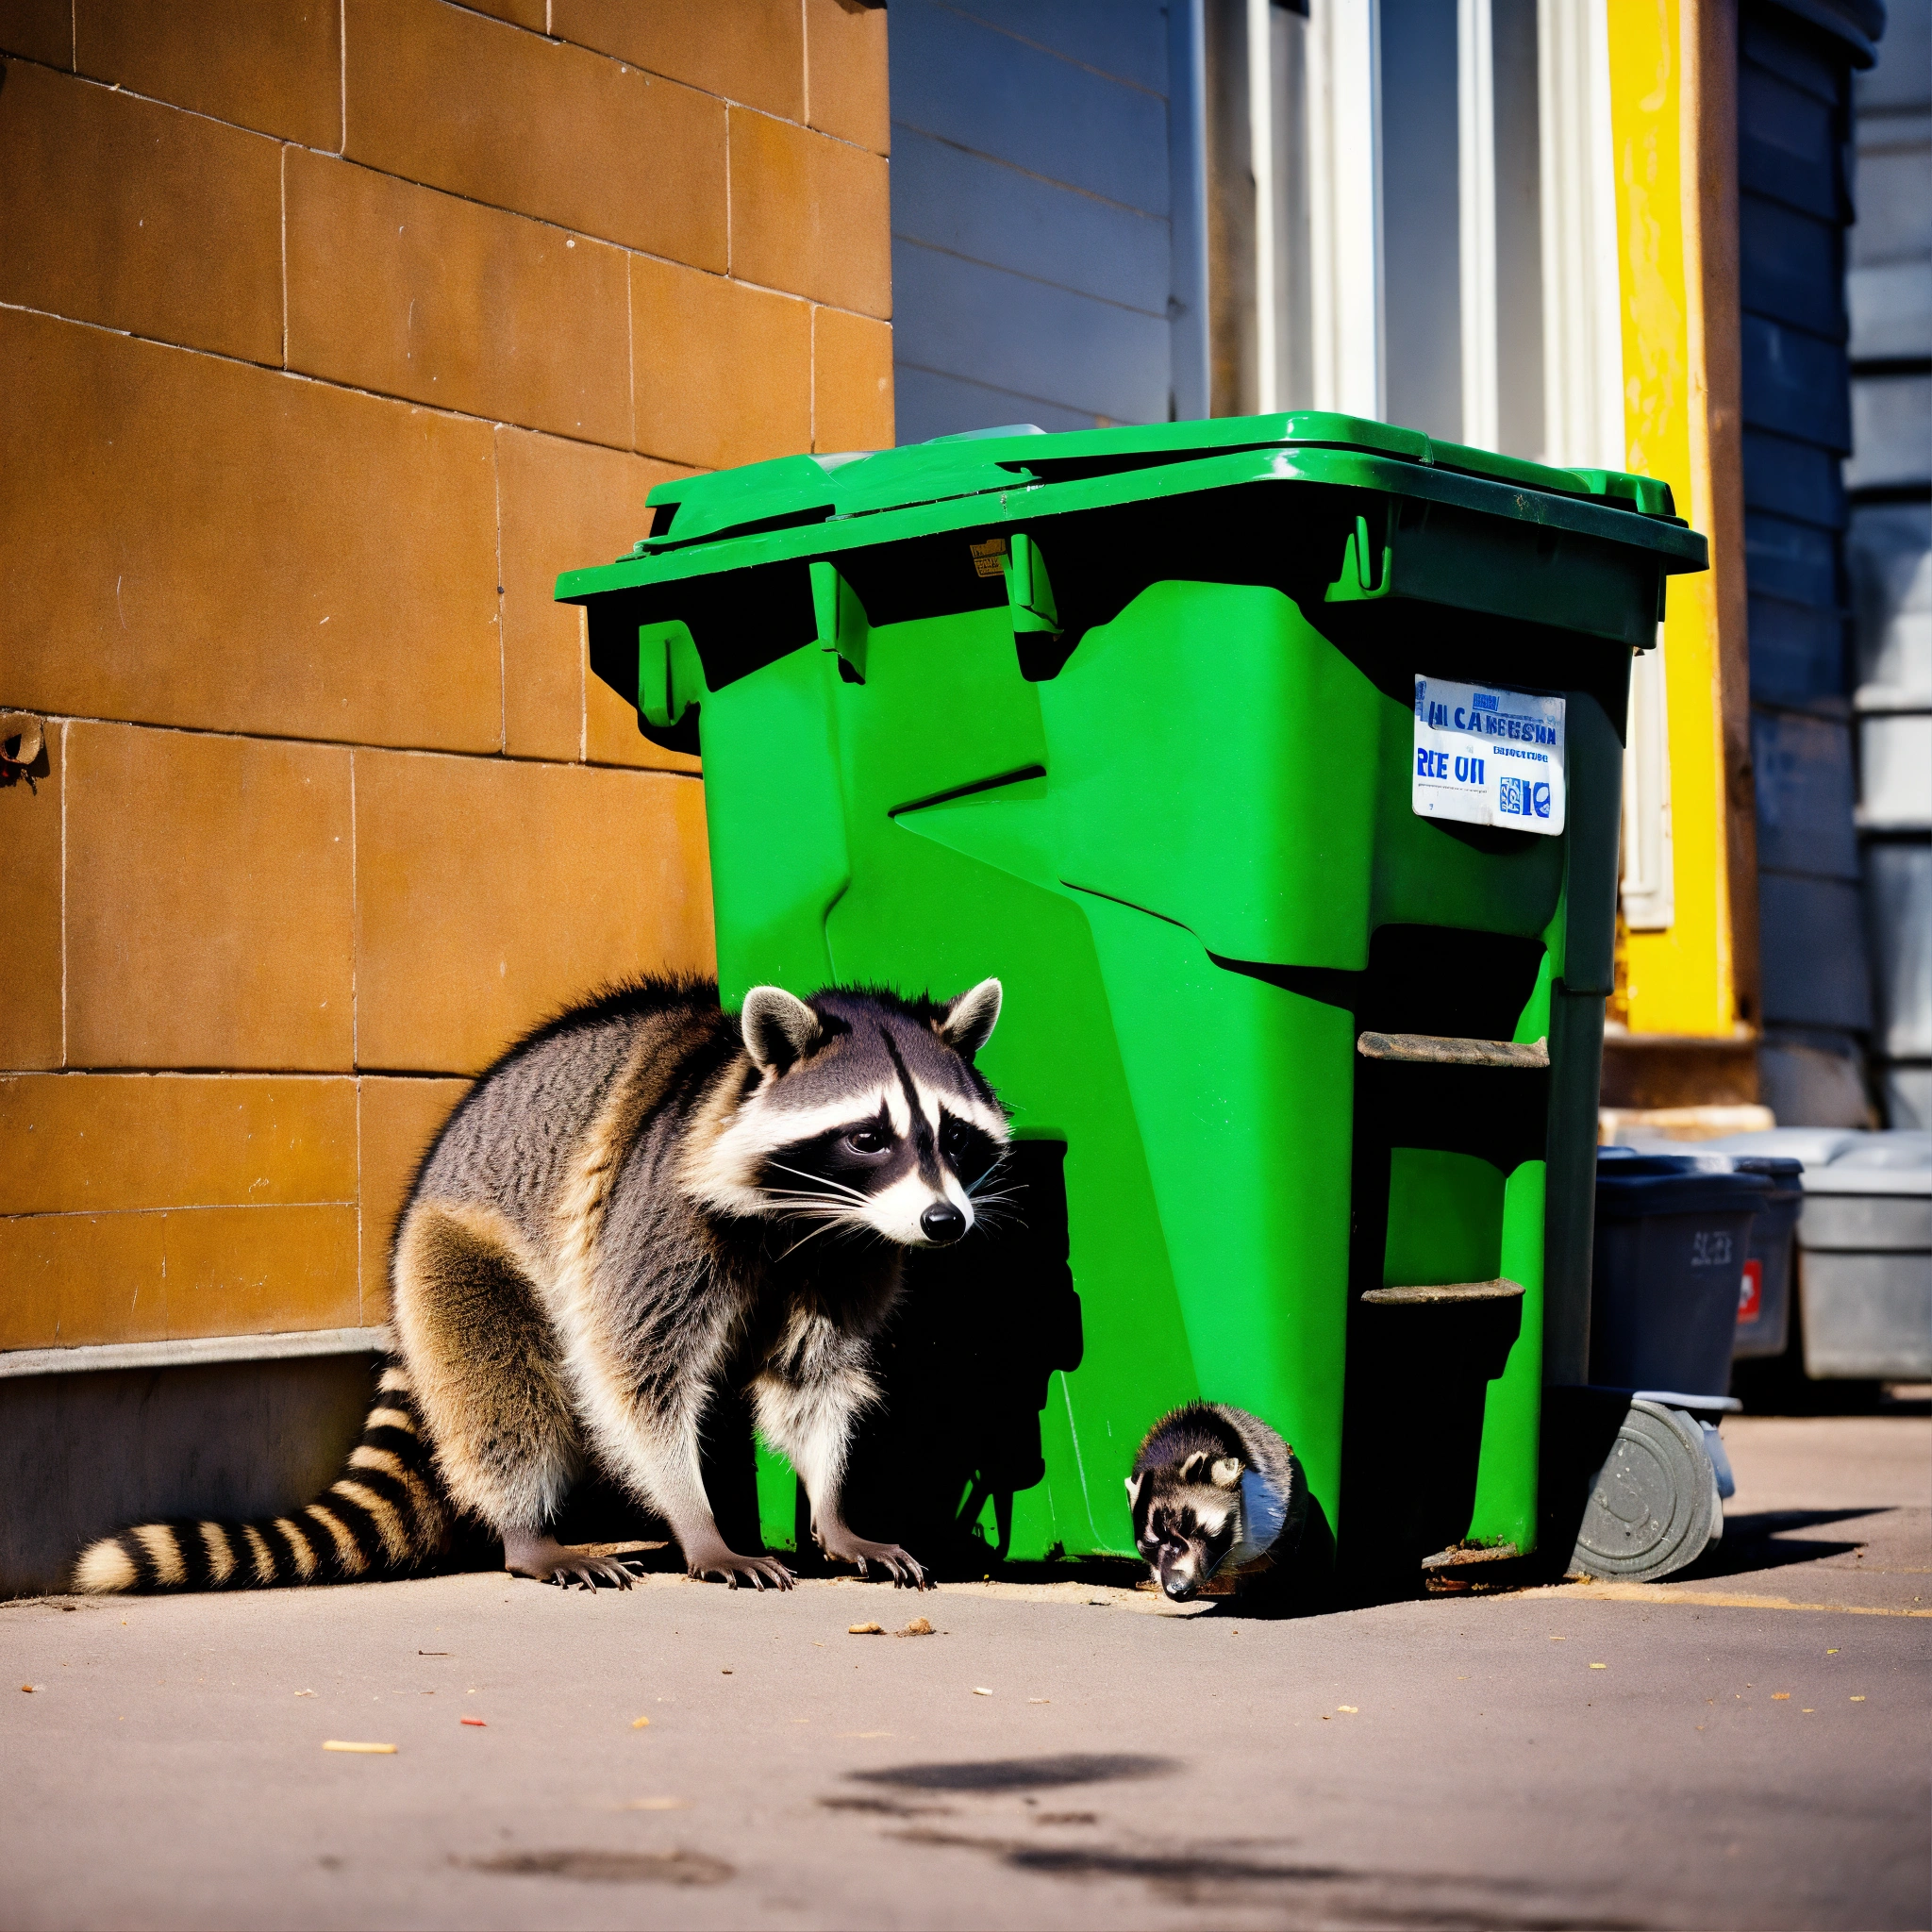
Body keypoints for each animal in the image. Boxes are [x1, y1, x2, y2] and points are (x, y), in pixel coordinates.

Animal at [73, 976, 1009, 1597]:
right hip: (457, 1255)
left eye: (955, 1138)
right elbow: (633, 1377)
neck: (801, 1212)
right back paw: (526, 1534)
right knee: (502, 1388)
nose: (944, 1223)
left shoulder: (847, 1253)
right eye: (867, 1136)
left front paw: (832, 1506)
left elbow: (811, 1379)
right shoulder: (657, 1219)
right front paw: (698, 1523)